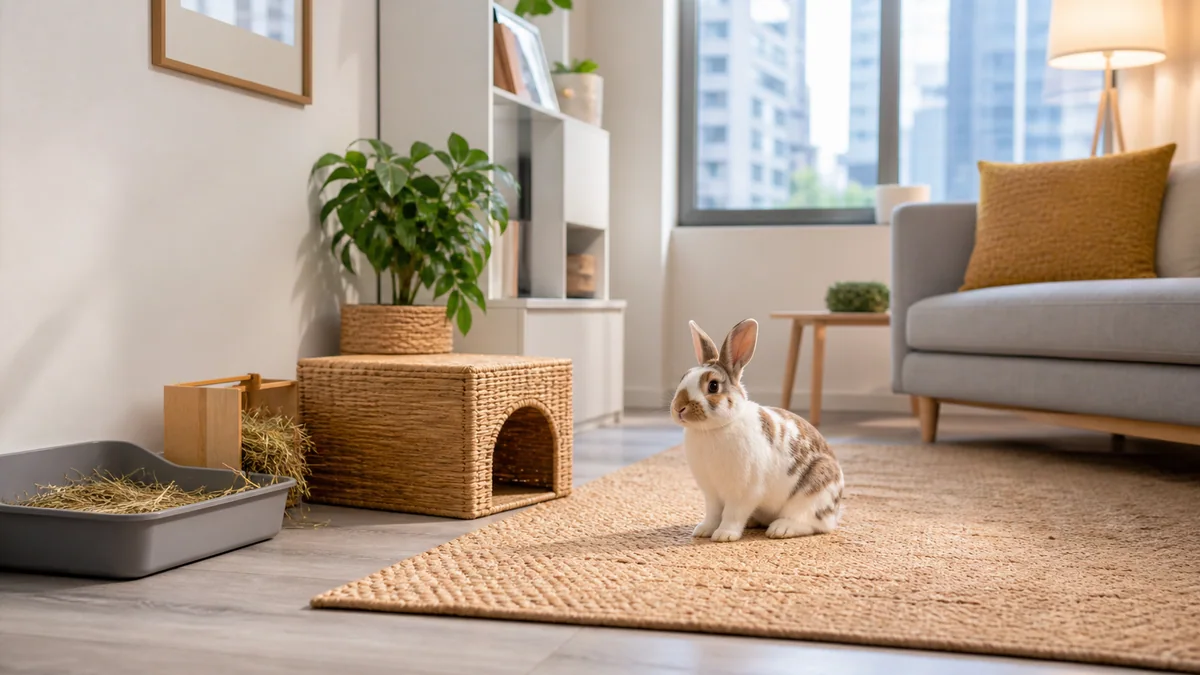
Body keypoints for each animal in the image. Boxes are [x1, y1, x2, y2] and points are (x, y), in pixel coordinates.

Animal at [671, 318, 844, 542]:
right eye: (683, 377)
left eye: (713, 386)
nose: (678, 408)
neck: (715, 429)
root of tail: (836, 510)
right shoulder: (711, 493)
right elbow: (713, 513)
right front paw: (703, 530)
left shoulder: (743, 491)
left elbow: (732, 514)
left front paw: (724, 535)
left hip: (813, 493)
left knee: (814, 523)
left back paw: (781, 529)